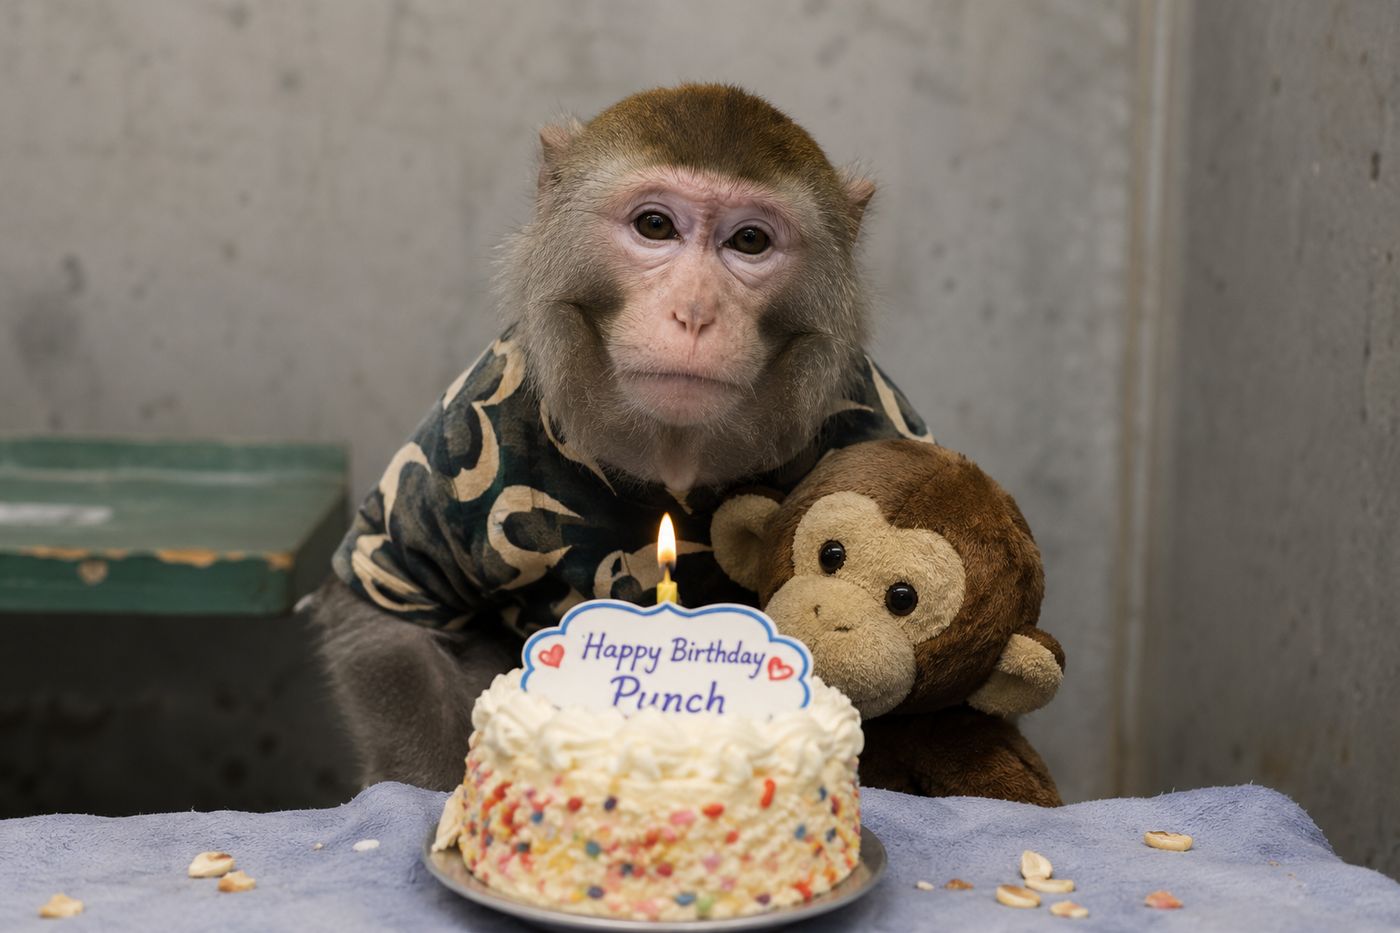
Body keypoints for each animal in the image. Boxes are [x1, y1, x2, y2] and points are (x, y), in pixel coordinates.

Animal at [310, 84, 934, 790]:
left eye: (750, 240)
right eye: (655, 226)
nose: (695, 311)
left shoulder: (880, 425)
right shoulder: (466, 425)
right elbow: (383, 609)